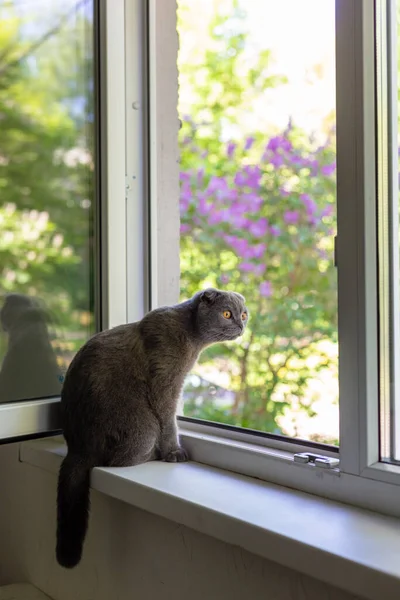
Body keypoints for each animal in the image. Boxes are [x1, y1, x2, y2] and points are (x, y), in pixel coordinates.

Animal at [56, 288, 250, 568]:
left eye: (243, 314)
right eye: (226, 314)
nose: (241, 325)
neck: (191, 334)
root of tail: (77, 448)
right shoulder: (165, 383)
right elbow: (169, 421)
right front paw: (174, 452)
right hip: (142, 426)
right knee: (118, 461)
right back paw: (154, 454)